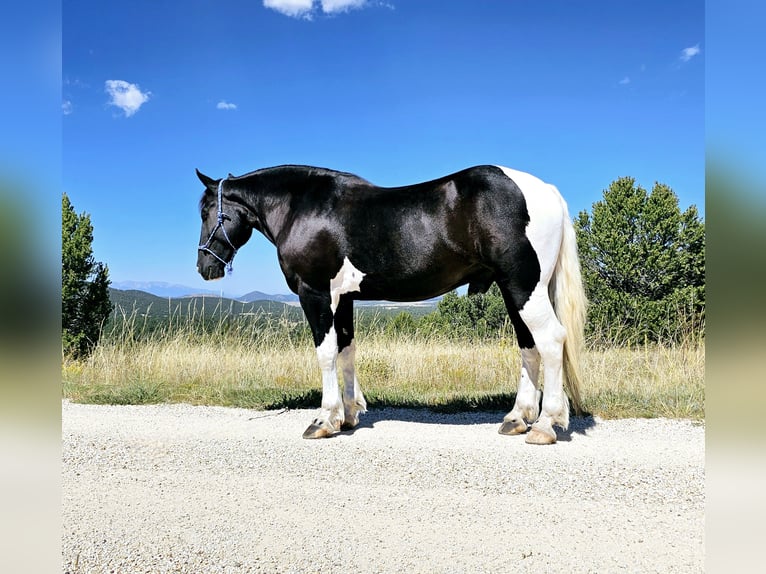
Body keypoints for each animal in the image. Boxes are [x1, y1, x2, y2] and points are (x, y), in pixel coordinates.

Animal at [196, 165, 588, 446]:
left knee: (551, 341)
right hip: (514, 291)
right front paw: (348, 416)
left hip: (523, 287)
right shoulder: (345, 299)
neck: (302, 207)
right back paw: (517, 419)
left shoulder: (315, 294)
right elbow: (346, 351)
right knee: (529, 346)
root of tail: (547, 191)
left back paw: (546, 425)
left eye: (206, 211)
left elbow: (326, 353)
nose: (205, 267)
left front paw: (323, 420)